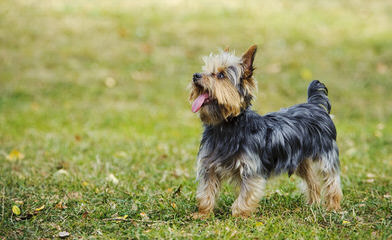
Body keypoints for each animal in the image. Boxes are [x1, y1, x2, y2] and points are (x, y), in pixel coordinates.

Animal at [191, 45, 344, 218]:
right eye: (205, 70)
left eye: (220, 75)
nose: (196, 75)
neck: (226, 126)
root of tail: (314, 104)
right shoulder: (209, 167)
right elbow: (206, 192)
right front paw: (203, 213)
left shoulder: (251, 169)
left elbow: (246, 195)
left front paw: (239, 215)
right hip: (301, 160)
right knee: (313, 181)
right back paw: (313, 204)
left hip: (326, 155)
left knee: (331, 181)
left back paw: (333, 207)